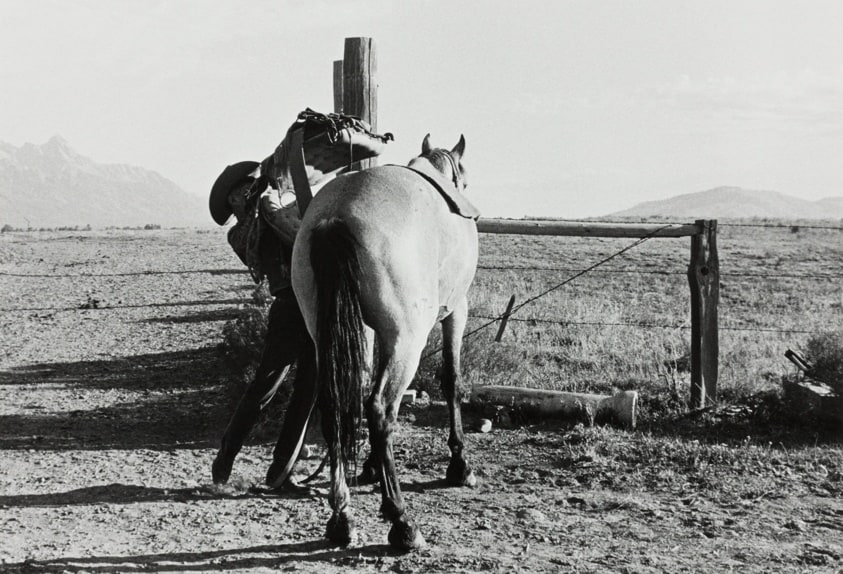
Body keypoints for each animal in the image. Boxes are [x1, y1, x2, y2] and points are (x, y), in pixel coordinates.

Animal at [291, 134, 478, 551]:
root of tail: (336, 216)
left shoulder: (373, 332)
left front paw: (372, 467)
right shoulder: (456, 310)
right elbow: (452, 381)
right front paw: (459, 466)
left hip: (328, 334)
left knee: (335, 406)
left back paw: (342, 517)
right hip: (408, 340)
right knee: (380, 410)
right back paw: (401, 520)